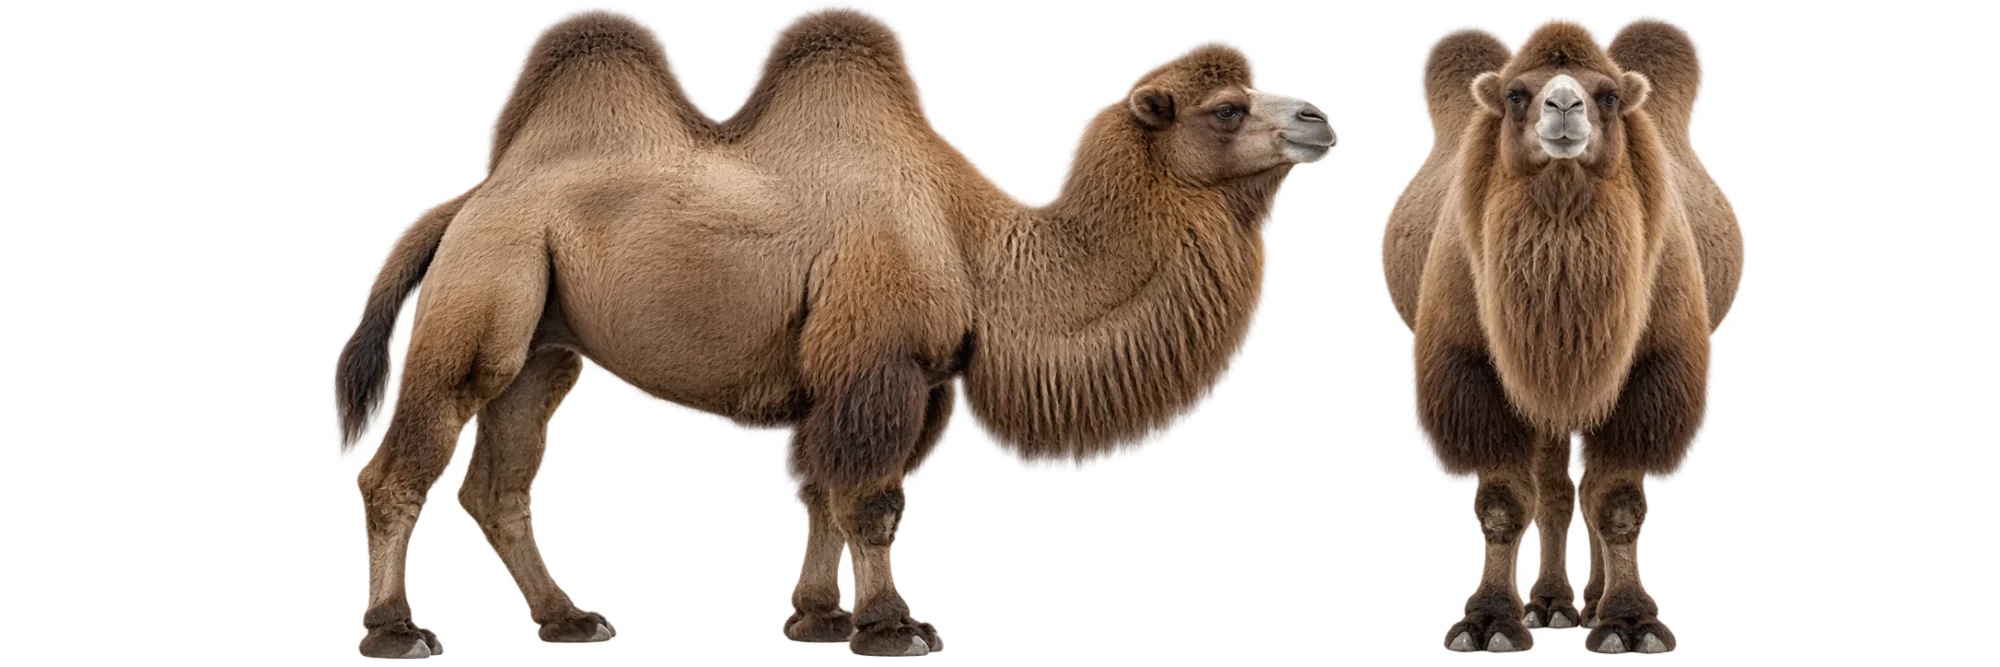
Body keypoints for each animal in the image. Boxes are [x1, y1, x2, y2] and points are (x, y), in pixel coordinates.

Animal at [327, 2, 1335, 660]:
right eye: (1227, 109)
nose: (1320, 118)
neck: (974, 243)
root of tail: (465, 200)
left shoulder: (876, 377)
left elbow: (821, 490)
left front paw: (817, 618)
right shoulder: (879, 360)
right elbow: (875, 499)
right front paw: (896, 629)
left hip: (548, 337)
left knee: (500, 479)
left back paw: (571, 621)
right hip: (486, 286)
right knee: (406, 462)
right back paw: (397, 633)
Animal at [1377, 14, 1743, 655]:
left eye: (1610, 96)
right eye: (1516, 96)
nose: (1566, 105)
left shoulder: (1650, 372)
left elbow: (1618, 503)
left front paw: (1629, 622)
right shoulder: (1474, 371)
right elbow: (1504, 503)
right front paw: (1488, 622)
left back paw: (1590, 601)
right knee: (1553, 489)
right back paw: (1549, 604)